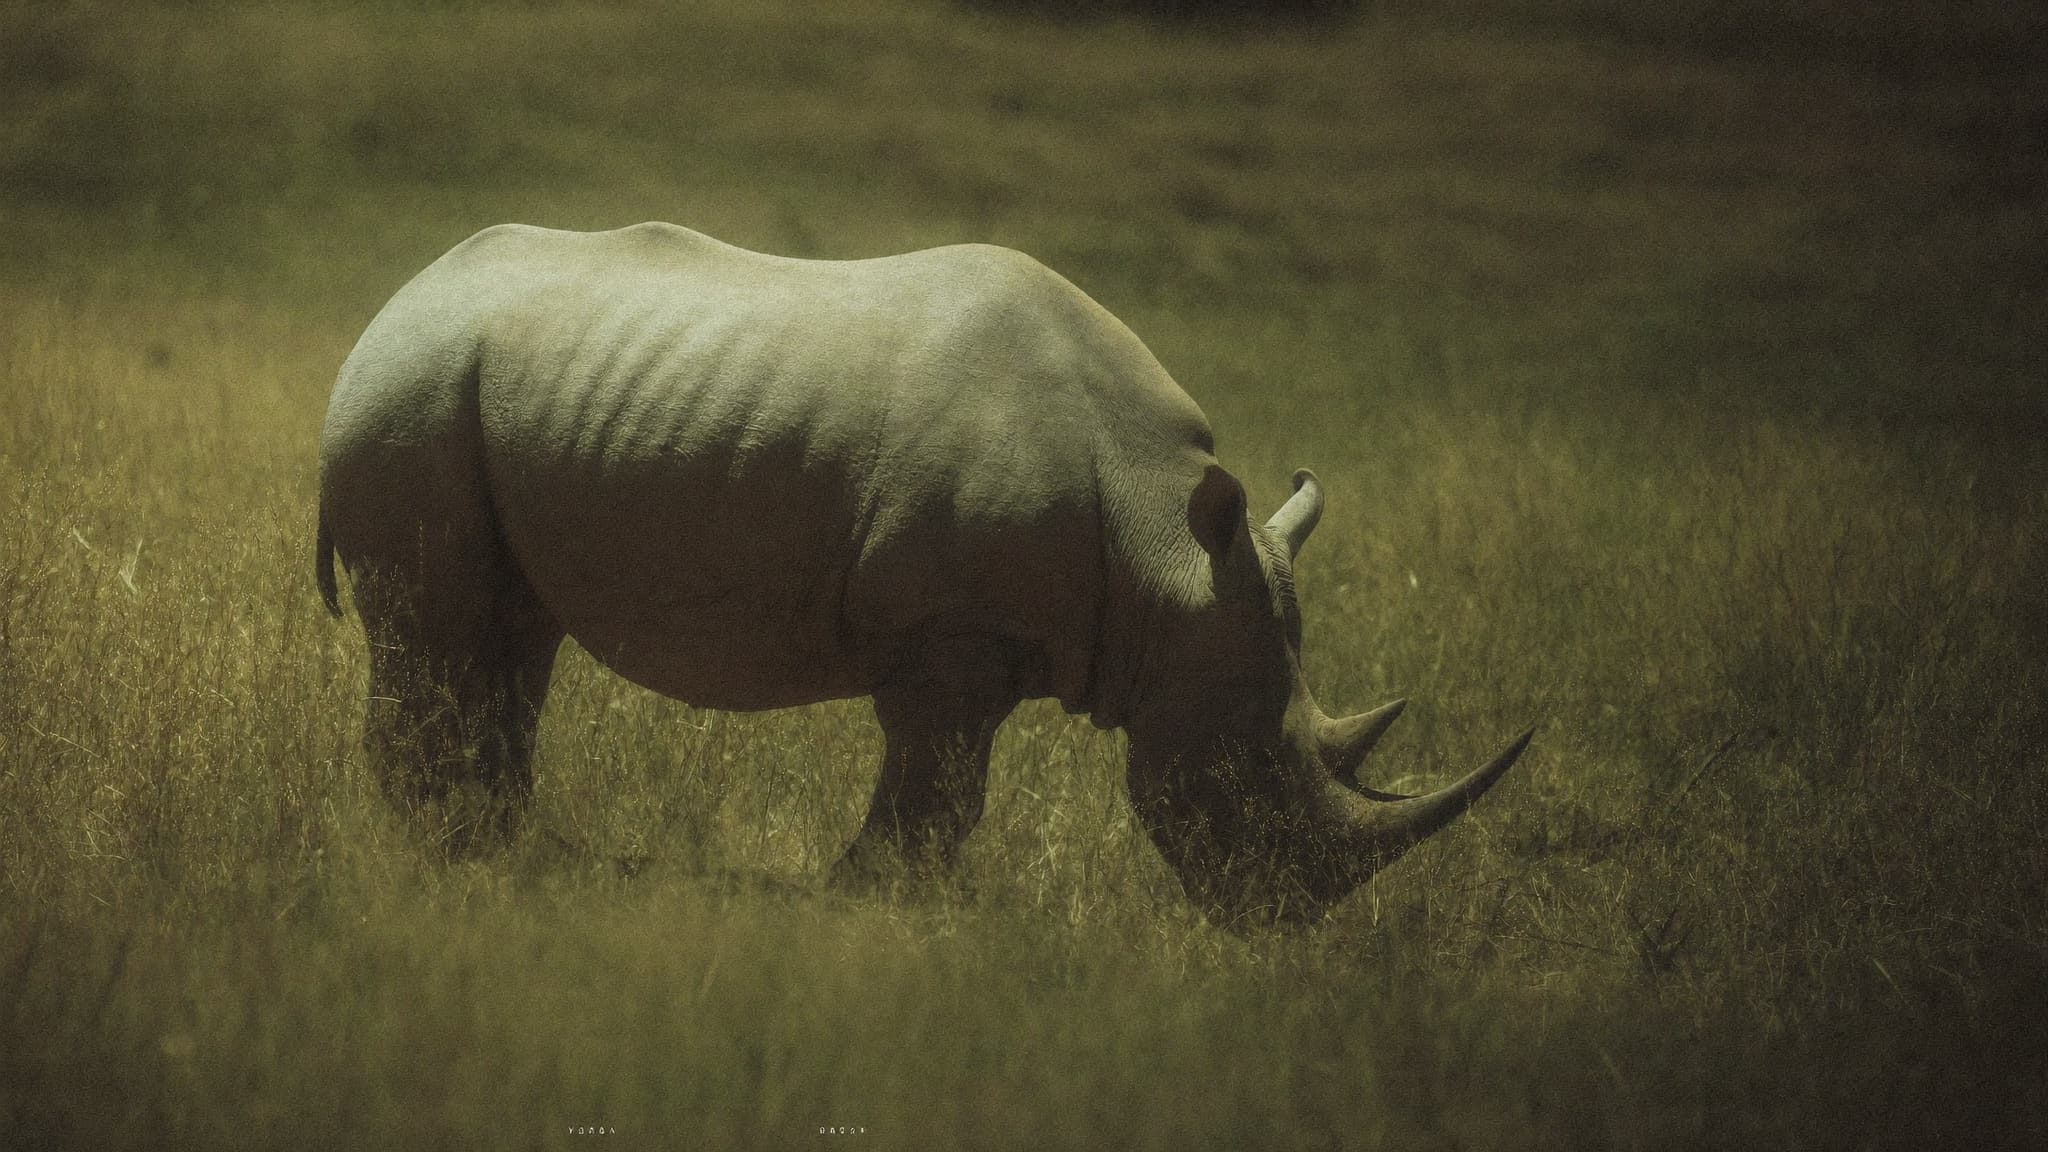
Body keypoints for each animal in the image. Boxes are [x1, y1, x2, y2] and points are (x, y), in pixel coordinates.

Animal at [316, 222, 1531, 924]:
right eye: (1244, 778)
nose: (1279, 921)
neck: (1169, 549)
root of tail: (389, 307)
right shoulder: (949, 640)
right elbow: (939, 794)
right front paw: (871, 908)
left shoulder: (972, 640)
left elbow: (939, 792)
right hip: (412, 398)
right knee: (438, 626)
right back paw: (445, 862)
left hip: (484, 392)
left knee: (516, 634)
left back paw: (505, 858)